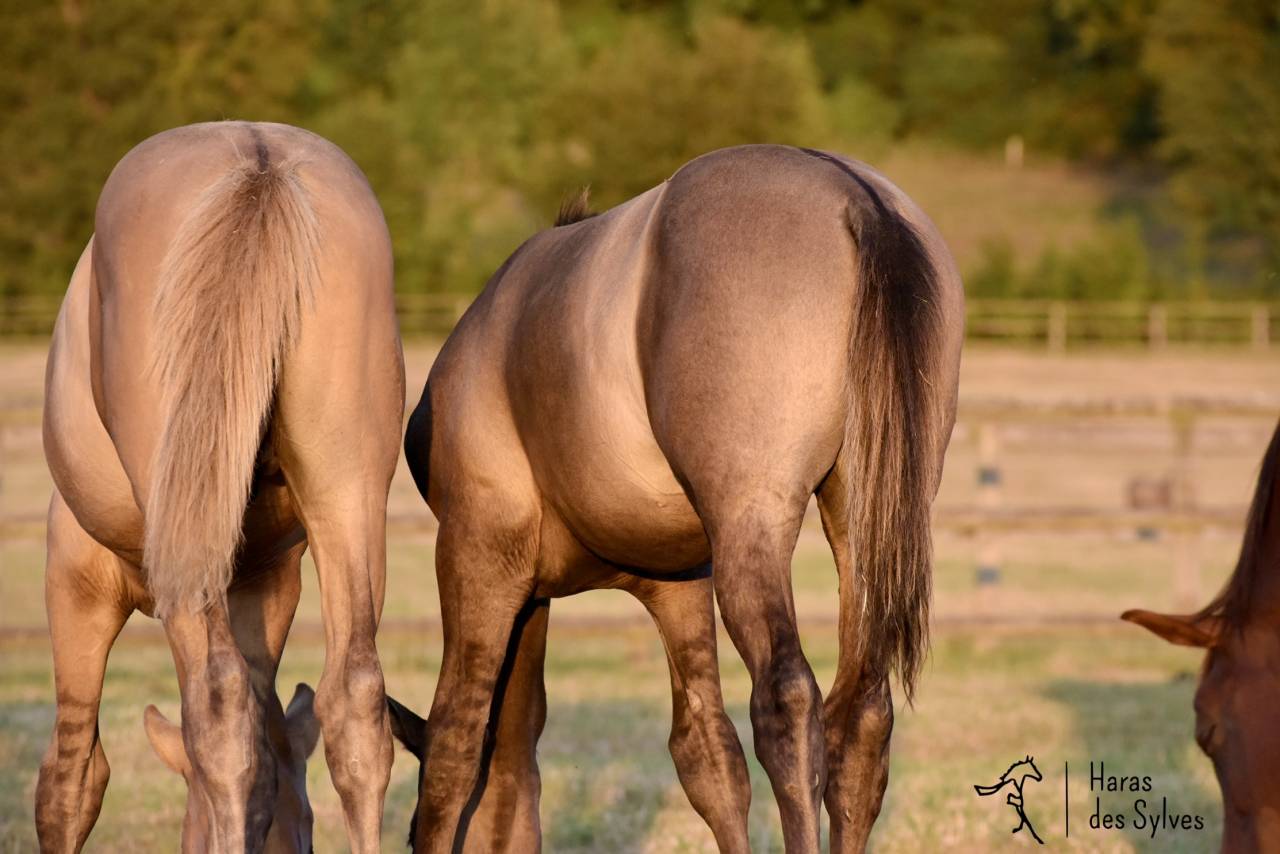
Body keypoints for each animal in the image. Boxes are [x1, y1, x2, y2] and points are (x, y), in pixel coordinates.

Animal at [35, 121, 404, 853]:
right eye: (304, 829)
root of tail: (261, 163)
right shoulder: (265, 584)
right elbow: (264, 768)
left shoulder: (75, 584)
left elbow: (72, 778)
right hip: (345, 492)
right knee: (354, 700)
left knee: (218, 705)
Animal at [390, 144, 964, 852]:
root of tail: (856, 197)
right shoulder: (676, 586)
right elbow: (708, 756)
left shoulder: (479, 557)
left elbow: (454, 744)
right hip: (857, 530)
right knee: (860, 715)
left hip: (753, 527)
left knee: (787, 701)